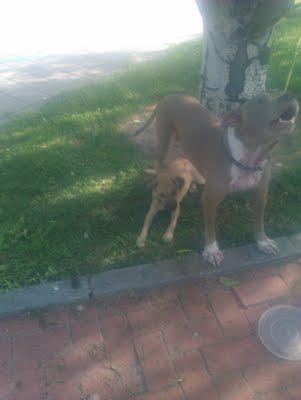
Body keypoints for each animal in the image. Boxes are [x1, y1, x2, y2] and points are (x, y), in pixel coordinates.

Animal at [135, 93, 298, 266]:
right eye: (260, 100)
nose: (289, 95)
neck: (247, 158)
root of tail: (173, 94)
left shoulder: (261, 193)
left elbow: (259, 220)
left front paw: (263, 242)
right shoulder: (210, 198)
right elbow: (210, 227)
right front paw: (211, 250)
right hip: (163, 142)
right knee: (161, 165)